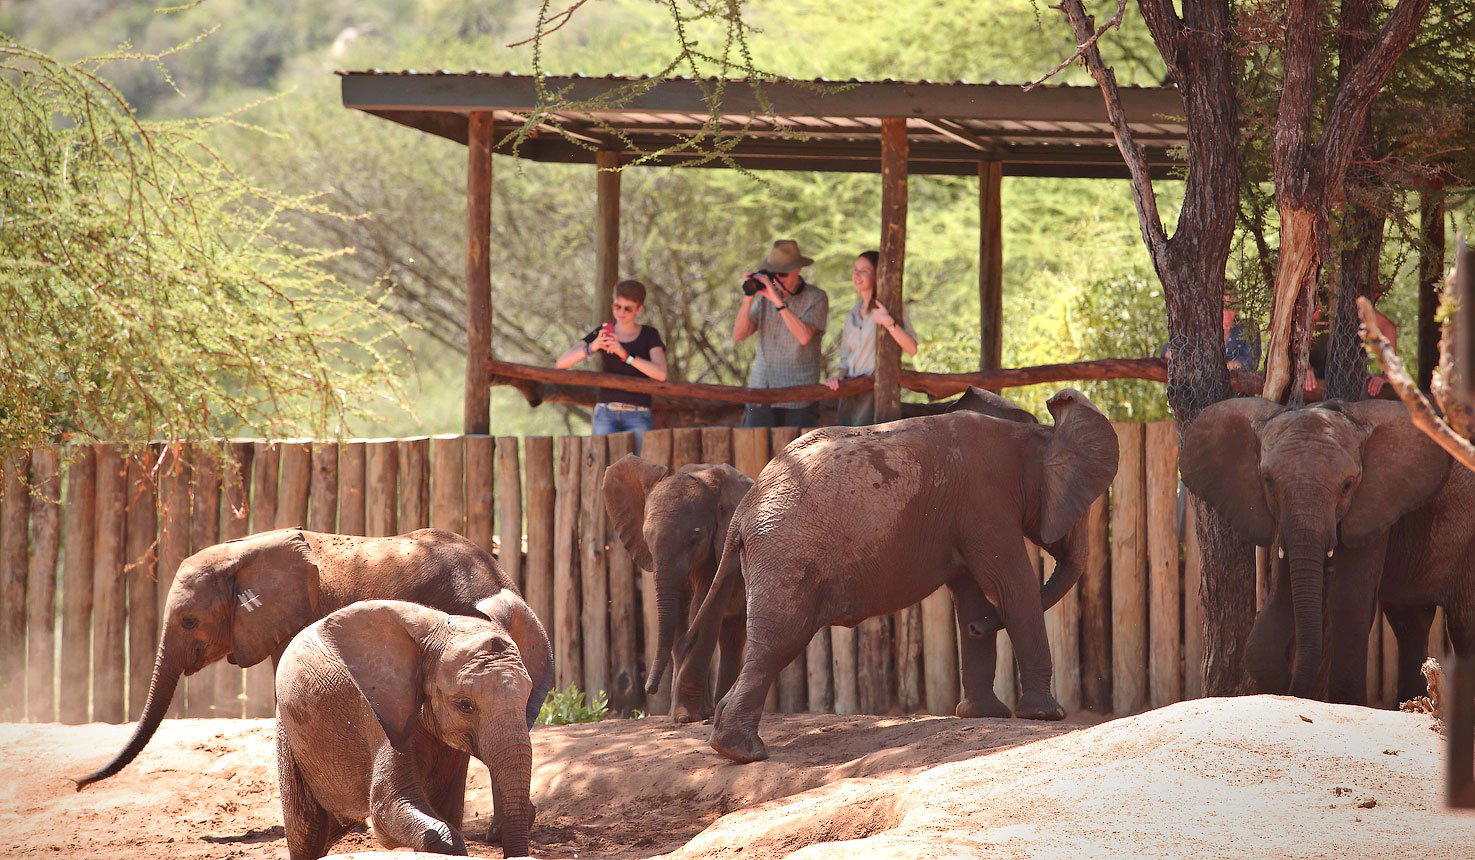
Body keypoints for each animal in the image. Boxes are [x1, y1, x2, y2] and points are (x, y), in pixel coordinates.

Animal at [275, 595, 539, 859]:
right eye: (465, 705)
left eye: (527, 696)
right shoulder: (379, 712)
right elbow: (388, 808)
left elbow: (444, 807)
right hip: (289, 731)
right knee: (305, 832)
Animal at [602, 455, 753, 723]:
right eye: (647, 539)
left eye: (695, 537)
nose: (650, 688)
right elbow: (680, 611)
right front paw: (684, 715)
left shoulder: (724, 549)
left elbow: (705, 610)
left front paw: (684, 717)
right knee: (729, 634)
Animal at [676, 388, 1119, 763]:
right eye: (1082, 505)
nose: (983, 627)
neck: (1029, 435)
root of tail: (743, 510)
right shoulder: (985, 503)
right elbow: (1014, 587)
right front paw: (1046, 716)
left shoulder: (967, 515)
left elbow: (972, 594)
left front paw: (984, 713)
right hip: (785, 555)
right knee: (779, 640)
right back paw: (743, 752)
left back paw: (732, 746)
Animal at [1181, 398, 1474, 703]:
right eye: (1268, 482)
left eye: (1347, 485)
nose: (1292, 690)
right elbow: (1281, 602)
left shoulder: (1371, 506)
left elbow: (1349, 601)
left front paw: (1347, 703)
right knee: (1410, 622)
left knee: (1463, 626)